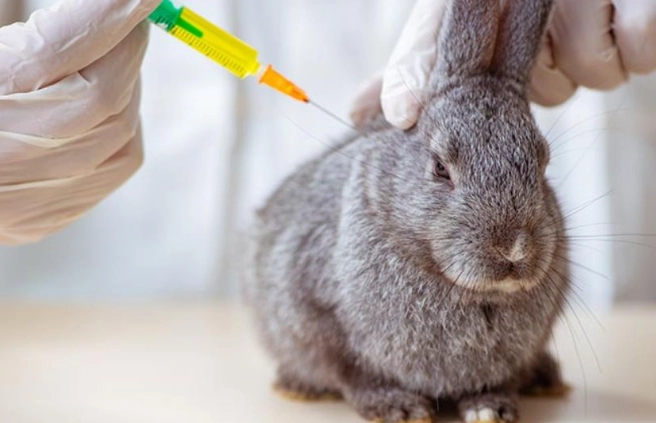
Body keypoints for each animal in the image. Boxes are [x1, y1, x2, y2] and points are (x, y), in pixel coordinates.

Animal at [246, 0, 570, 422]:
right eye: (440, 168)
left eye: (543, 164)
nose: (514, 249)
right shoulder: (313, 308)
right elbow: (350, 371)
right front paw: (398, 407)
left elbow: (496, 380)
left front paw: (490, 408)